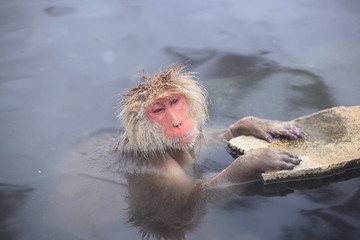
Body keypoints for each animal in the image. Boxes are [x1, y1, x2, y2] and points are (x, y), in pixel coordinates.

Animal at [117, 65, 304, 184]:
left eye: (174, 101)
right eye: (158, 110)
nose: (178, 123)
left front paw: (256, 124)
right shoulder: (163, 169)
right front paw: (255, 161)